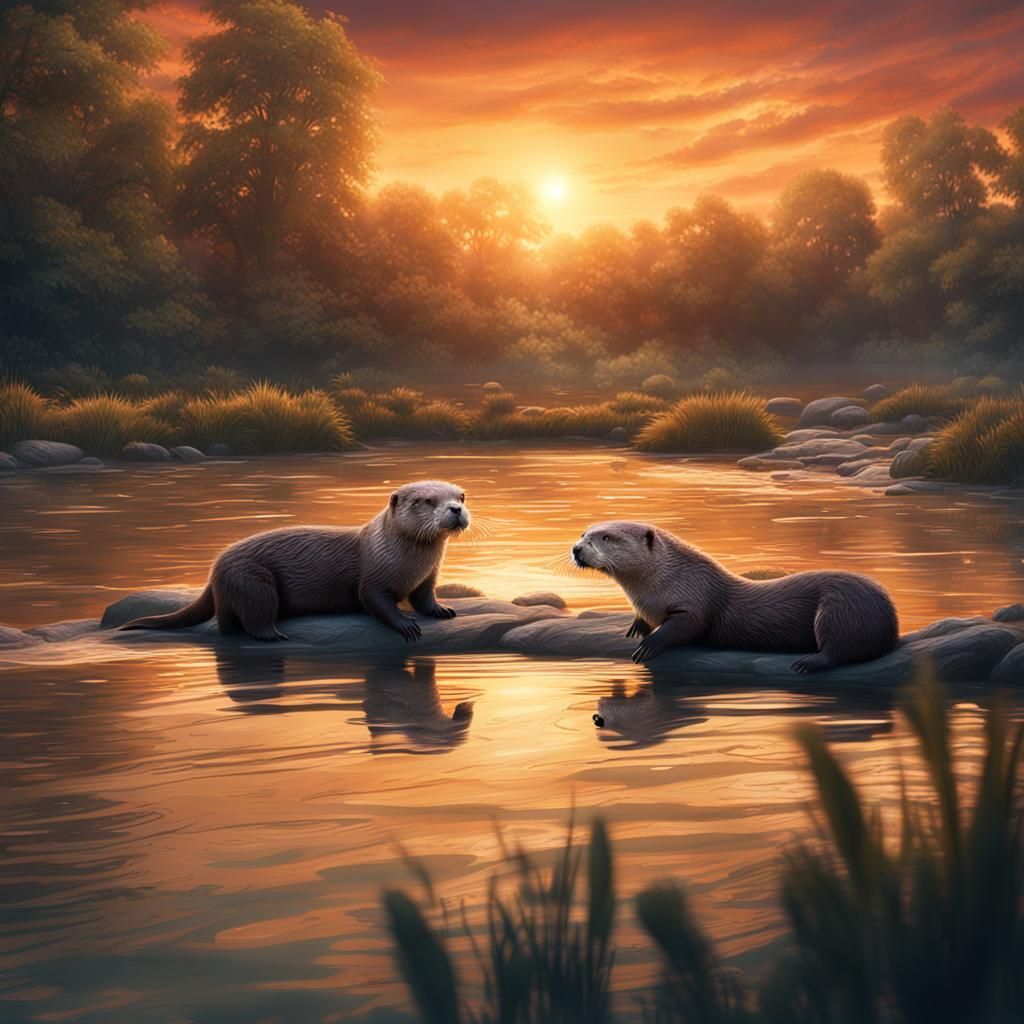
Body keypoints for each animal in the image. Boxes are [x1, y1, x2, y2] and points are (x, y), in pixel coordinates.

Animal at [120, 480, 470, 642]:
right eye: (427, 500)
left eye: (460, 495)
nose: (455, 509)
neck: (410, 564)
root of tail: (215, 564)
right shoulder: (374, 577)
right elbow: (375, 601)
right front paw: (405, 625)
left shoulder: (428, 576)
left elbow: (425, 598)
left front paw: (442, 610)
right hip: (252, 580)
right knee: (244, 621)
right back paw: (271, 634)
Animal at [572, 522, 898, 672]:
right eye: (584, 533)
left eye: (606, 537)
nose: (576, 548)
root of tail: (892, 624)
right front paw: (636, 627)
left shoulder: (695, 599)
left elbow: (686, 626)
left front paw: (648, 645)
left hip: (841, 608)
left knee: (840, 650)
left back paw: (809, 663)